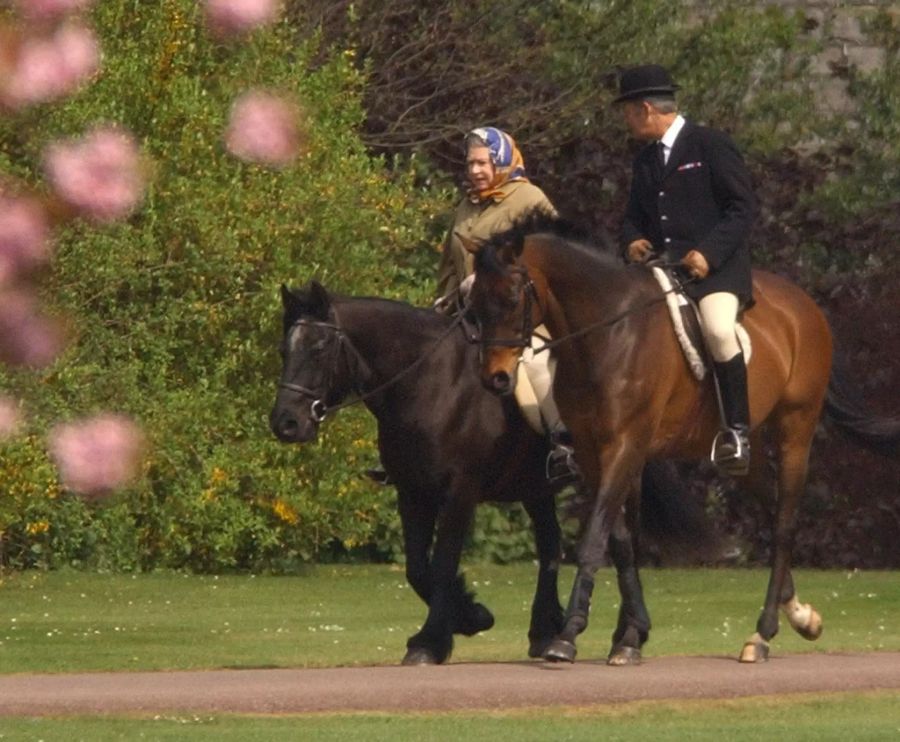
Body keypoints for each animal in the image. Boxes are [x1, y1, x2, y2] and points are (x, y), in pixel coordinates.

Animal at [268, 282, 712, 664]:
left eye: (319, 347)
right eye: (284, 350)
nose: (285, 423)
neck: (431, 380)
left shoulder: (459, 492)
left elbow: (442, 562)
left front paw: (432, 641)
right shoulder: (412, 493)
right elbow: (417, 568)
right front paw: (469, 616)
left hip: (618, 474)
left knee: (622, 543)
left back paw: (626, 638)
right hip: (536, 490)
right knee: (552, 547)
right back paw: (547, 631)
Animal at [468, 221, 896, 668]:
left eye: (511, 298)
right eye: (474, 303)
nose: (495, 378)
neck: (607, 333)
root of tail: (804, 305)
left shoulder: (625, 445)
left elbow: (595, 540)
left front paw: (567, 637)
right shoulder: (592, 452)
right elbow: (622, 542)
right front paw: (629, 637)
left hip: (796, 430)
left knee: (783, 525)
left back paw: (762, 634)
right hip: (746, 452)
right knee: (769, 504)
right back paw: (801, 616)